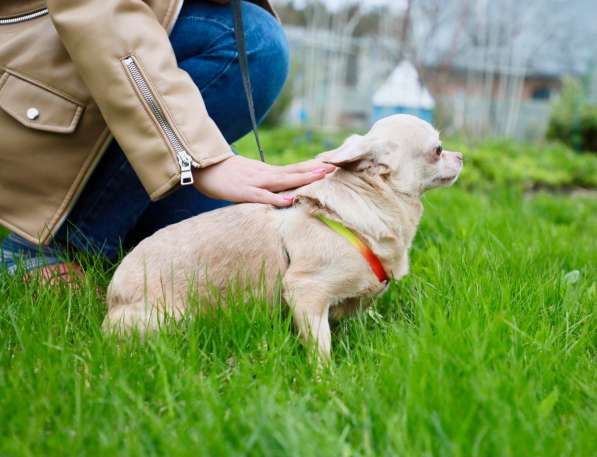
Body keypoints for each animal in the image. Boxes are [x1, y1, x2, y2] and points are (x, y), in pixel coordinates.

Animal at [105, 114, 464, 356]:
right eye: (438, 150)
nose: (461, 155)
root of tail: (112, 295)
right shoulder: (306, 291)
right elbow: (320, 346)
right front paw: (325, 382)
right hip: (169, 318)